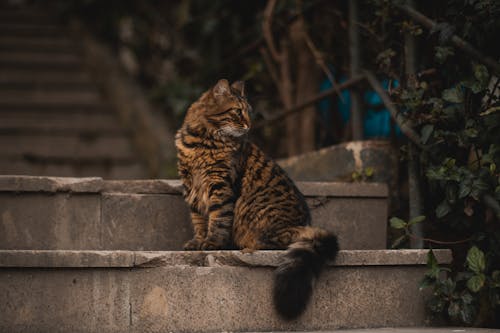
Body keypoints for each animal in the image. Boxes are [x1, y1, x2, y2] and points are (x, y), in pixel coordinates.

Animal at [174, 78, 338, 320]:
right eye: (237, 112)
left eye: (248, 113)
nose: (249, 126)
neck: (203, 140)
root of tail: (307, 223)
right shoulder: (191, 186)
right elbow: (199, 221)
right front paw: (198, 242)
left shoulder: (220, 185)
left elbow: (218, 219)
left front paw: (212, 243)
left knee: (284, 239)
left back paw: (248, 247)